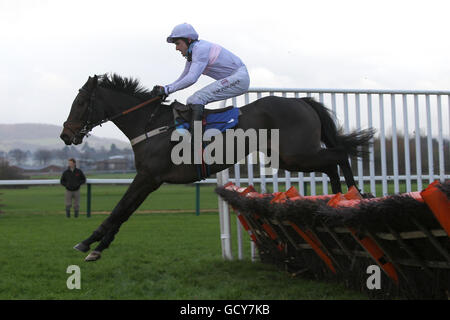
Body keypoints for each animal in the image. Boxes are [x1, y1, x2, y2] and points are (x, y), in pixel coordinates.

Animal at [60, 74, 376, 262]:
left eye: (80, 102)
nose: (65, 135)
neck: (149, 125)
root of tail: (302, 102)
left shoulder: (148, 177)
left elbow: (119, 209)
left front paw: (88, 243)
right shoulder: (150, 179)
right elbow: (125, 211)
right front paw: (98, 246)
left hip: (297, 154)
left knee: (338, 156)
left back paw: (353, 195)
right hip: (290, 157)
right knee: (333, 162)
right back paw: (337, 198)